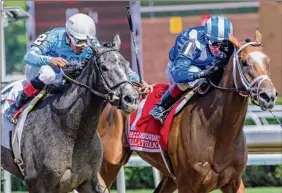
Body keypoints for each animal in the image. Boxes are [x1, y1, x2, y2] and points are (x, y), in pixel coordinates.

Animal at [98, 29, 276, 192]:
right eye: (244, 62)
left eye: (268, 61)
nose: (268, 95)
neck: (217, 132)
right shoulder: (188, 184)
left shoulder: (234, 181)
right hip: (110, 163)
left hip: (170, 177)